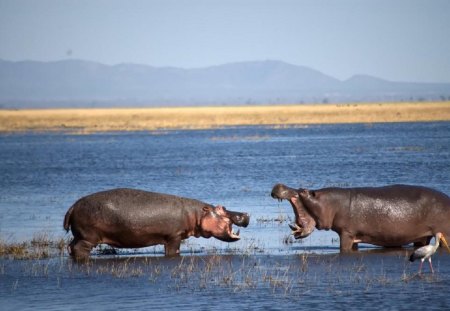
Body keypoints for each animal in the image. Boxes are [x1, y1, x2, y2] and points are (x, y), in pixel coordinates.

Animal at [63, 189, 250, 262]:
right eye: (220, 208)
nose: (245, 213)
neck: (196, 215)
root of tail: (72, 207)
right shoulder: (174, 236)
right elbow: (173, 251)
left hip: (79, 235)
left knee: (70, 246)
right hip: (88, 237)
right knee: (80, 248)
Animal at [270, 184, 450, 252]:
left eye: (304, 191)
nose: (278, 185)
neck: (329, 203)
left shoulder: (347, 233)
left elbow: (344, 248)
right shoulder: (353, 236)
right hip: (422, 237)